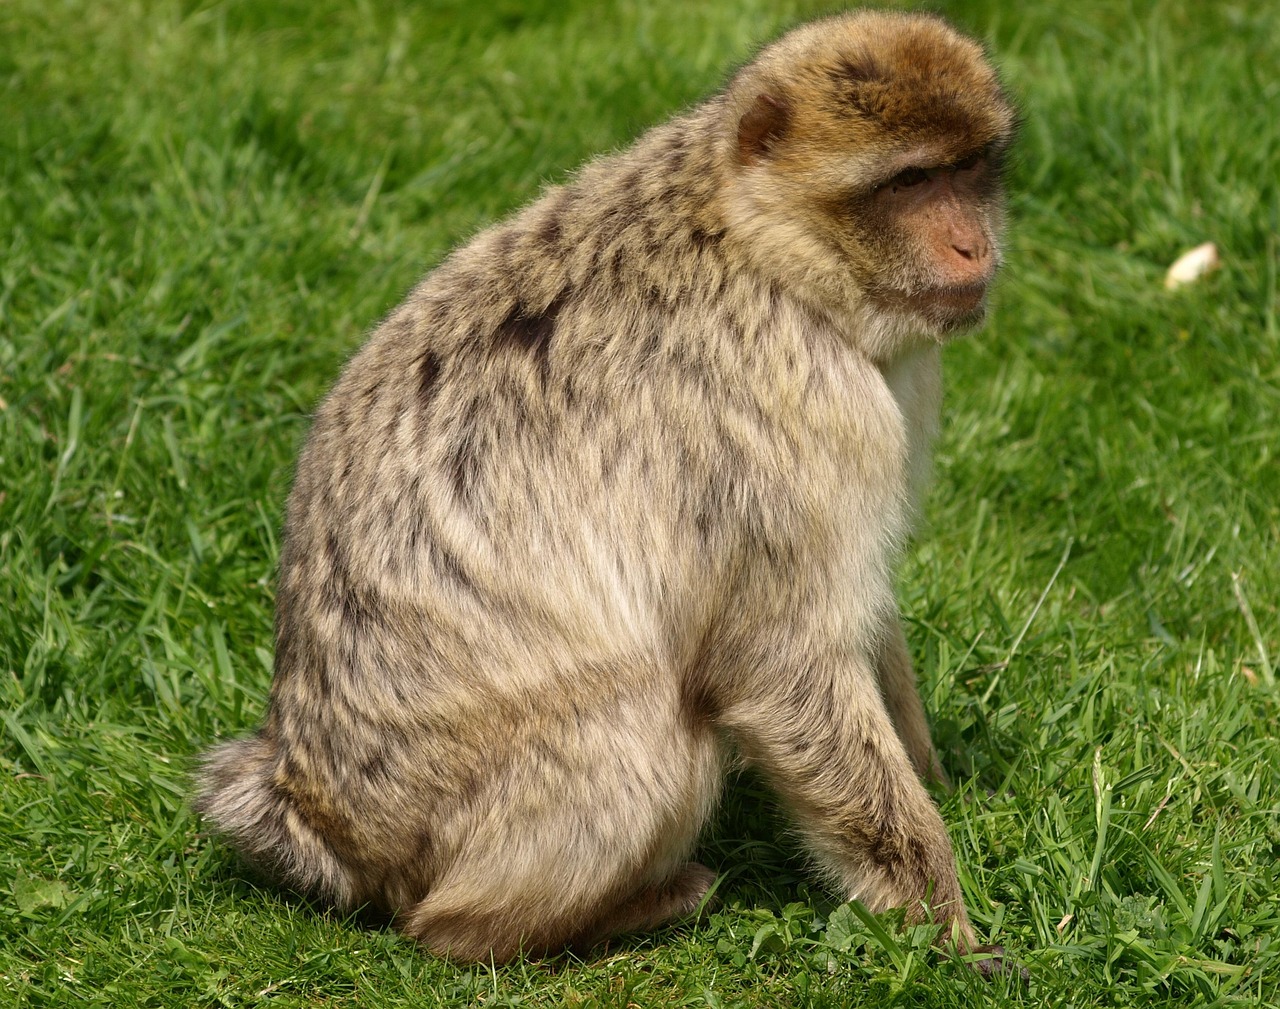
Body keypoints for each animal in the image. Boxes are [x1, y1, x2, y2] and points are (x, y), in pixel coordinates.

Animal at [196, 9, 1018, 971]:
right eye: (910, 180)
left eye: (967, 170)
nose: (973, 244)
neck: (766, 251)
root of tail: (316, 814)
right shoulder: (784, 416)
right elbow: (780, 659)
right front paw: (947, 931)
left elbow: (866, 609)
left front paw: (938, 781)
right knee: (648, 730)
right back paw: (550, 919)